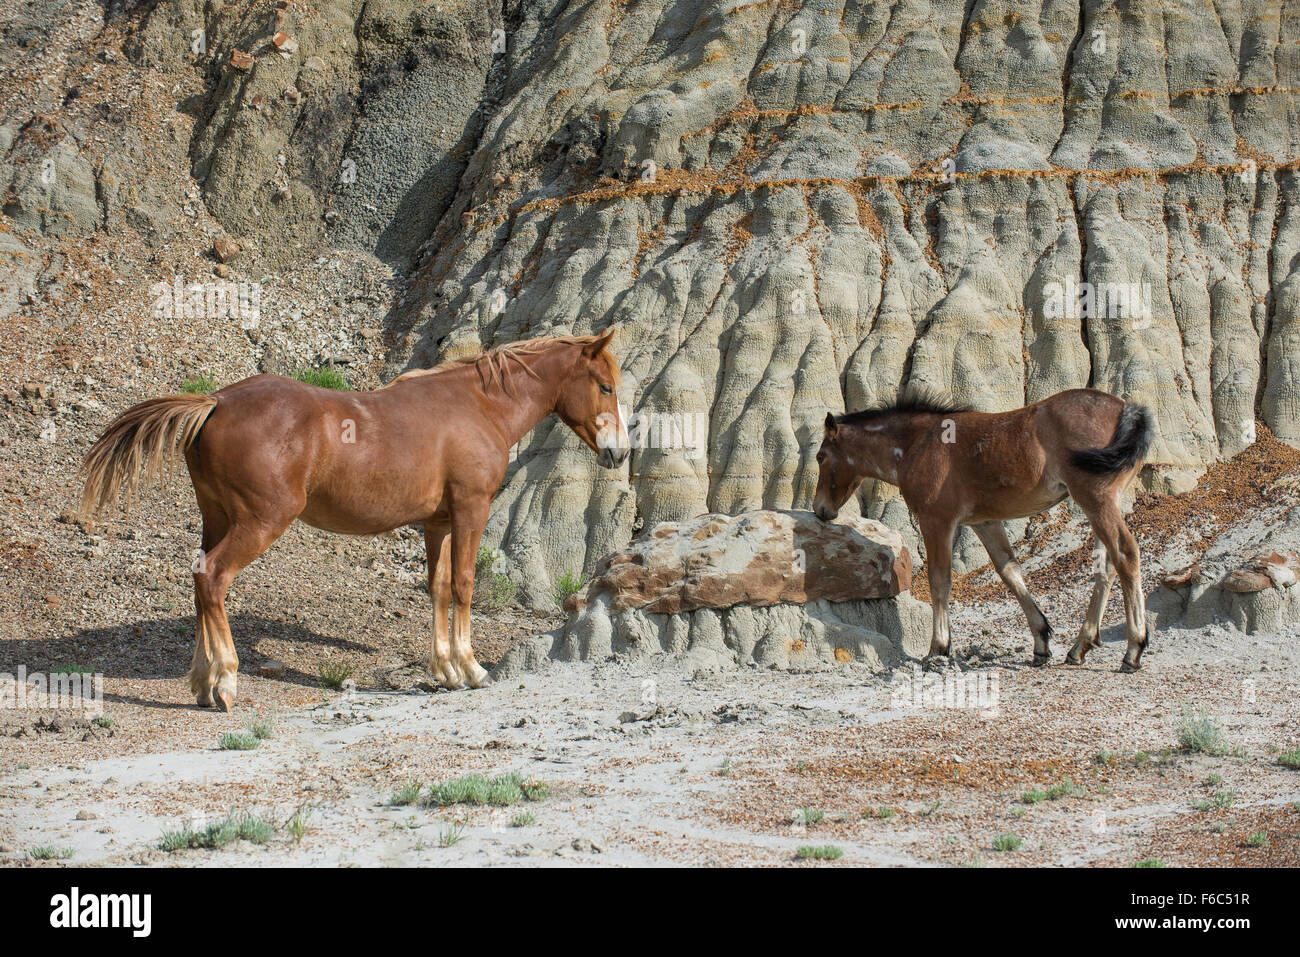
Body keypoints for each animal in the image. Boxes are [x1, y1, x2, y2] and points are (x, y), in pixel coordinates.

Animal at [79, 332, 629, 707]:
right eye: (604, 386)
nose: (620, 452)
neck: (477, 407)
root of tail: (216, 401)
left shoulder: (438, 524)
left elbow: (439, 588)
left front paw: (446, 670)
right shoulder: (471, 510)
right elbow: (465, 584)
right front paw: (471, 669)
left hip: (215, 519)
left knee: (198, 582)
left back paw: (200, 681)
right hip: (260, 522)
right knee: (213, 578)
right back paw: (226, 681)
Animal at [816, 390, 1154, 670]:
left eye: (820, 457)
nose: (821, 510)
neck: (917, 443)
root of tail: (1127, 409)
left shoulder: (936, 520)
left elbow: (940, 580)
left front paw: (938, 648)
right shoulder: (984, 523)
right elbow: (1010, 571)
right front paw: (1041, 643)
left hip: (1096, 500)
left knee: (1126, 554)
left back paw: (1133, 649)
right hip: (1103, 503)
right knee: (1106, 566)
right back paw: (1079, 647)